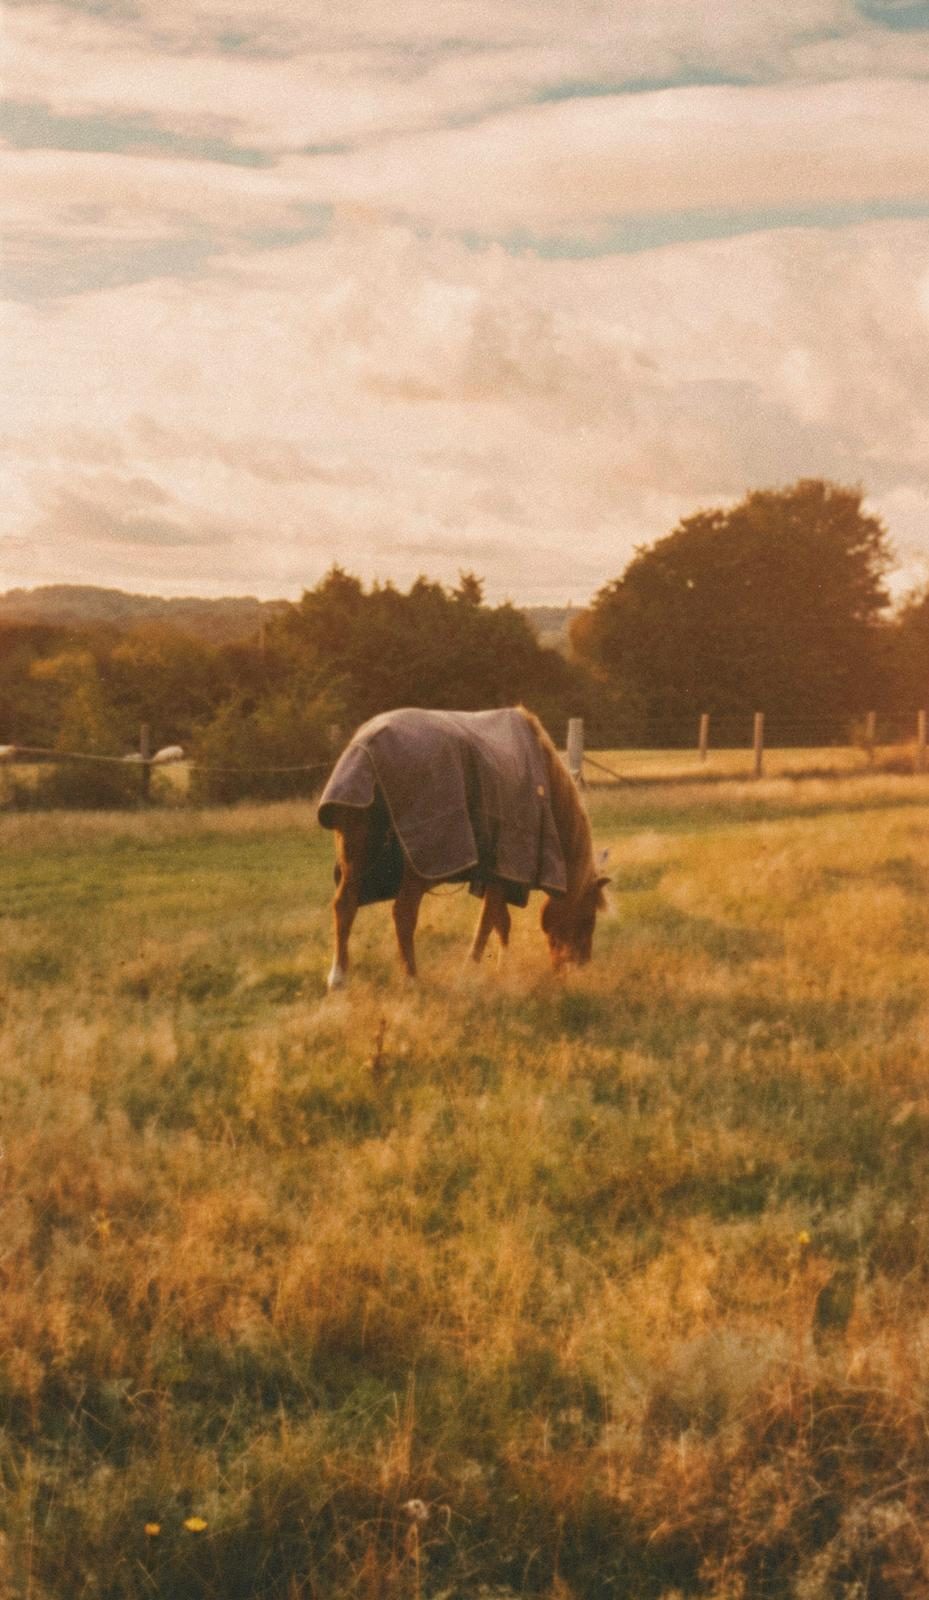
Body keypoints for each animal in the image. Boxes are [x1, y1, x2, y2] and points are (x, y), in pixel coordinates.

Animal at [317, 706, 609, 987]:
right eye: (588, 917)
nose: (579, 967)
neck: (544, 782)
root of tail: (368, 749)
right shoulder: (505, 870)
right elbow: (489, 922)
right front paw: (475, 968)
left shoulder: (493, 873)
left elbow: (500, 921)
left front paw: (501, 967)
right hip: (422, 860)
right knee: (403, 912)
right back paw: (411, 978)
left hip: (355, 851)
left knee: (344, 904)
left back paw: (338, 977)